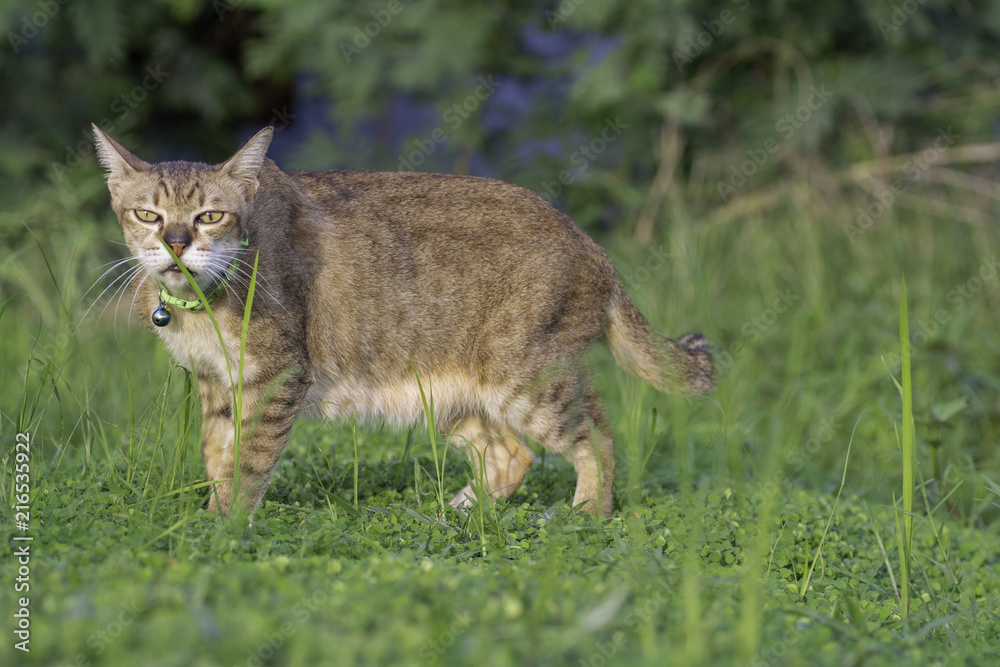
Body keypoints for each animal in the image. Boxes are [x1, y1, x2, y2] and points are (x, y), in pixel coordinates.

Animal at [94, 126, 716, 520]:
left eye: (210, 216)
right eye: (147, 214)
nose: (176, 243)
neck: (199, 308)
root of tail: (592, 243)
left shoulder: (277, 377)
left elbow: (249, 460)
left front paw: (227, 528)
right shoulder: (215, 384)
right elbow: (216, 454)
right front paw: (209, 518)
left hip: (530, 382)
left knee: (599, 438)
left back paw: (586, 516)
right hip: (449, 395)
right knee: (514, 455)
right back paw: (458, 514)